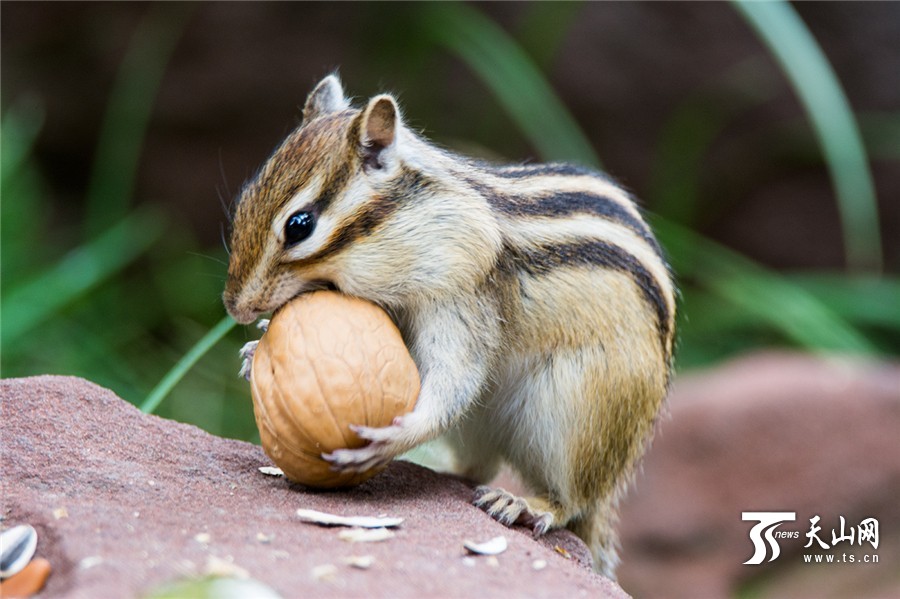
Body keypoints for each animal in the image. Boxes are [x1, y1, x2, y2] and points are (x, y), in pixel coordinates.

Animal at [223, 75, 676, 578]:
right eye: (245, 199)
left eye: (299, 225)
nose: (235, 308)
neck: (415, 227)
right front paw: (255, 351)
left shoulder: (463, 294)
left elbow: (455, 379)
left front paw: (395, 436)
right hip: (486, 425)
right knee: (477, 468)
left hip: (576, 412)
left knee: (571, 498)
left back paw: (525, 504)